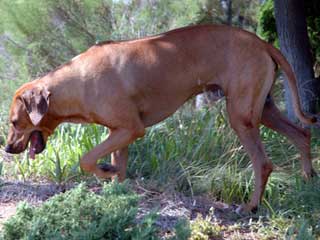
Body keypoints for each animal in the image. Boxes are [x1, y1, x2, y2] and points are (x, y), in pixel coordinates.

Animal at [3, 24, 316, 212]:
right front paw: (116, 192)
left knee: (263, 163)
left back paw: (250, 206)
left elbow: (87, 159)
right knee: (302, 134)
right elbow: (118, 167)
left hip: (240, 116)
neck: (76, 83)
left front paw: (105, 172)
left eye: (15, 123)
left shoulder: (131, 129)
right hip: (263, 110)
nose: (7, 149)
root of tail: (261, 42)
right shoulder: (119, 133)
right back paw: (309, 180)